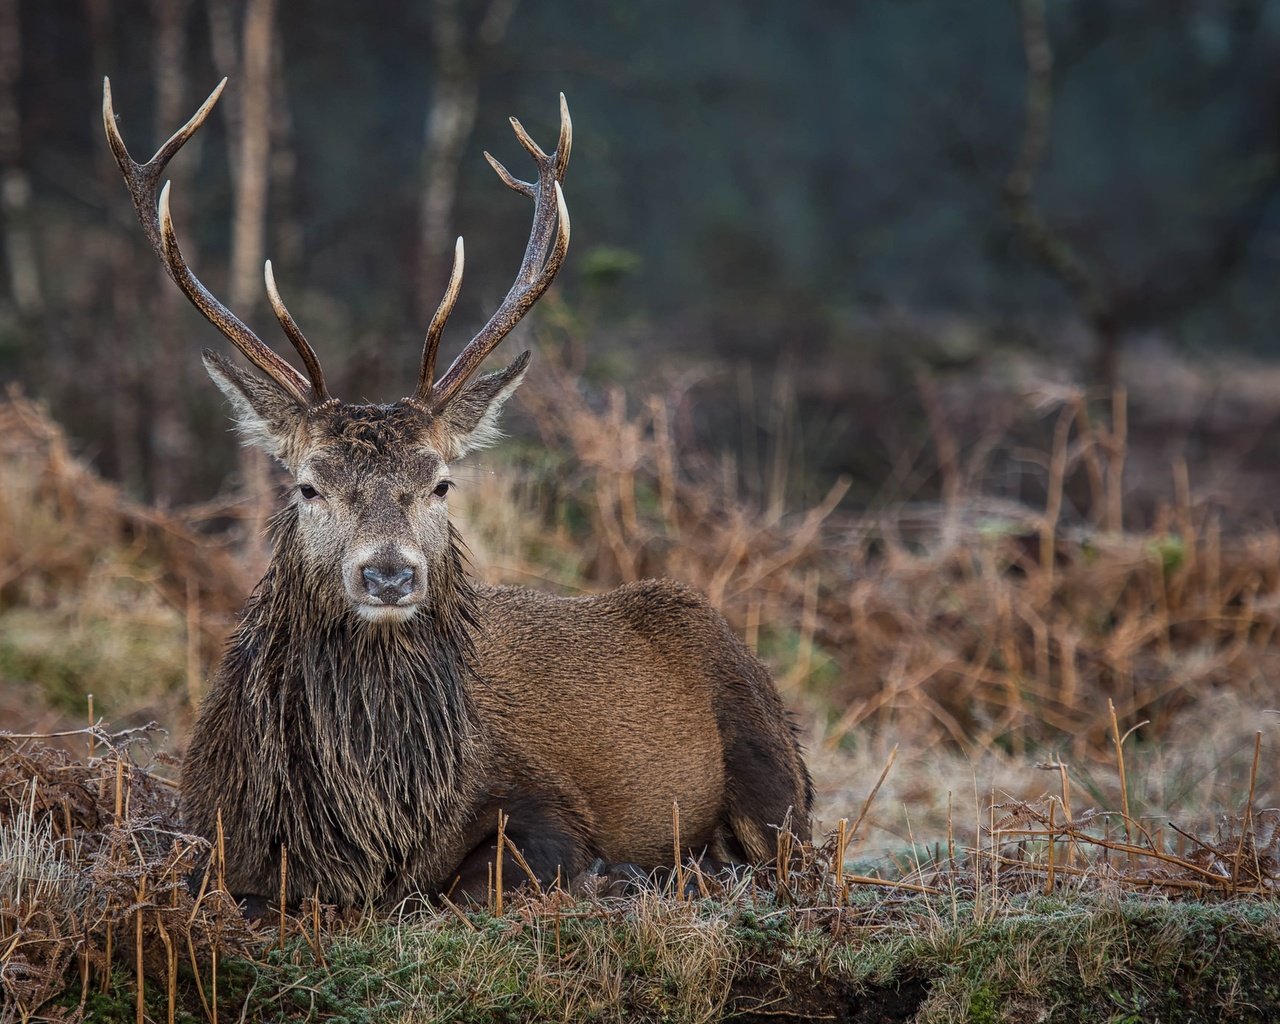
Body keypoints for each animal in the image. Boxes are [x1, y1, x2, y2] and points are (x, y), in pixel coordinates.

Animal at [104, 80, 814, 906]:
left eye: (440, 482)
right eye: (309, 485)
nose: (388, 572)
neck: (374, 828)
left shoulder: (543, 803)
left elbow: (472, 884)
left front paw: (618, 872)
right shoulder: (215, 832)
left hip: (771, 762)